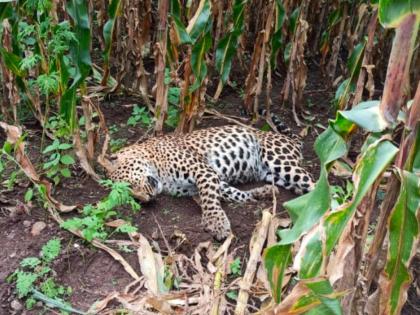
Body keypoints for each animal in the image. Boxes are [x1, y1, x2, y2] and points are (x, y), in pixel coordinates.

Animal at [108, 112, 316, 241]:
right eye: (132, 197)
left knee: (315, 184)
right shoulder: (203, 183)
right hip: (274, 173)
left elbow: (210, 199)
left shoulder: (203, 171)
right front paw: (261, 193)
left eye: (129, 187)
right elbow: (234, 193)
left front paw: (216, 224)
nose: (146, 200)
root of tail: (290, 140)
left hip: (280, 161)